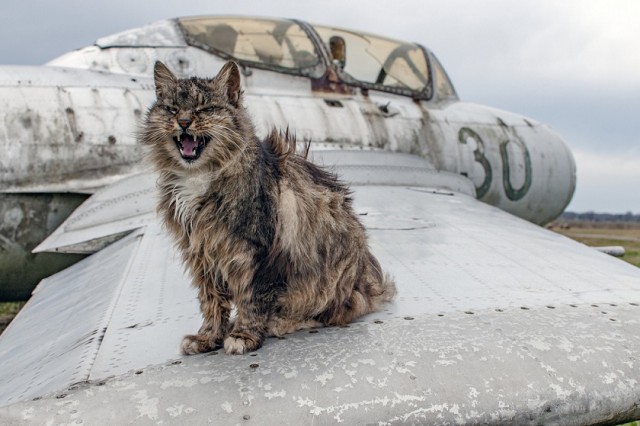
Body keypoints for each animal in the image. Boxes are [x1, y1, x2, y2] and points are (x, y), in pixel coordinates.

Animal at [141, 59, 396, 352]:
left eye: (204, 109)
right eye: (172, 109)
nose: (183, 122)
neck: (199, 176)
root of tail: (369, 282)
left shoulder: (256, 251)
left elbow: (251, 299)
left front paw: (243, 336)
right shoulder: (201, 253)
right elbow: (211, 302)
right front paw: (207, 337)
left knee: (335, 312)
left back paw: (281, 322)